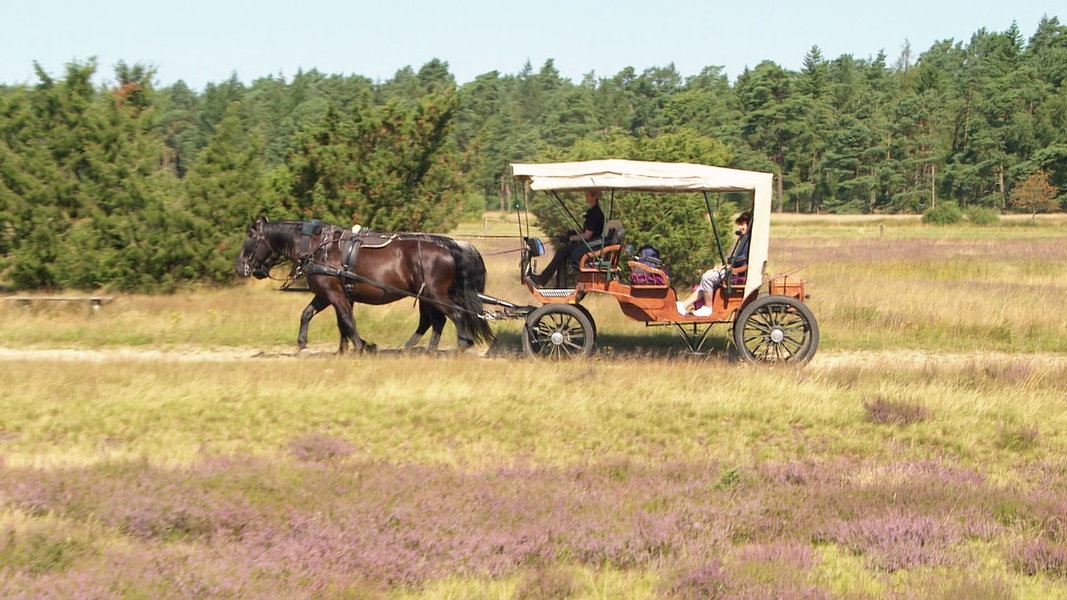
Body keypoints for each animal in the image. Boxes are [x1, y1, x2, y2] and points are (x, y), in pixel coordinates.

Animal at [235, 216, 492, 352]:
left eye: (250, 238)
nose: (239, 267)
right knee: (434, 321)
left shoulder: (333, 294)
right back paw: (418, 349)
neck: (318, 248)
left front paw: (361, 346)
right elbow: (313, 315)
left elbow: (348, 322)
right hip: (427, 296)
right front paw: (316, 345)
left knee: (455, 315)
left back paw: (462, 344)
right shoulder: (329, 295)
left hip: (436, 294)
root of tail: (449, 245)